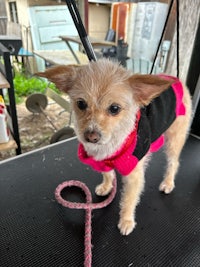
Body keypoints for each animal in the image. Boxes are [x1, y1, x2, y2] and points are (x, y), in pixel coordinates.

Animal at [37, 59, 192, 236]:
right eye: (81, 104)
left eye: (115, 109)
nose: (91, 136)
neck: (111, 144)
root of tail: (176, 79)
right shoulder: (102, 161)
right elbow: (107, 174)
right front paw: (106, 186)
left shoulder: (133, 176)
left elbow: (129, 201)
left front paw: (126, 220)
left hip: (175, 139)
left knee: (173, 162)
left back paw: (168, 182)